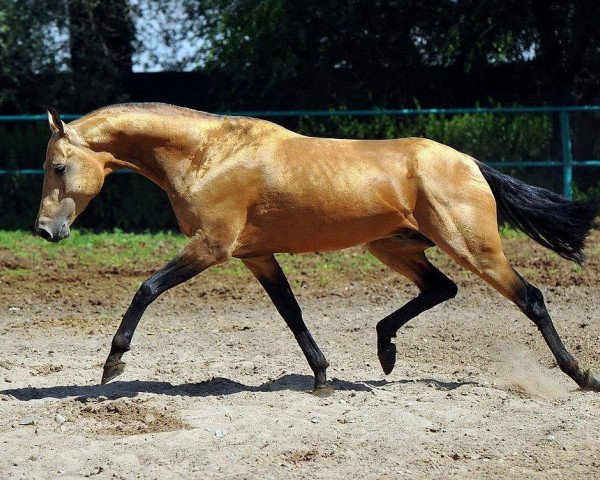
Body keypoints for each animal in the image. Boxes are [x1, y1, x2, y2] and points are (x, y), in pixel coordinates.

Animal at [36, 103, 600, 392]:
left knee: (531, 298)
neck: (209, 155)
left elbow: (146, 289)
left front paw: (112, 365)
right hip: (392, 247)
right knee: (441, 288)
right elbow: (292, 312)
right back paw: (385, 352)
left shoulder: (213, 247)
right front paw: (323, 376)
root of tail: (469, 163)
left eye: (59, 167)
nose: (45, 230)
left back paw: (581, 376)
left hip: (473, 247)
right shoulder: (256, 256)